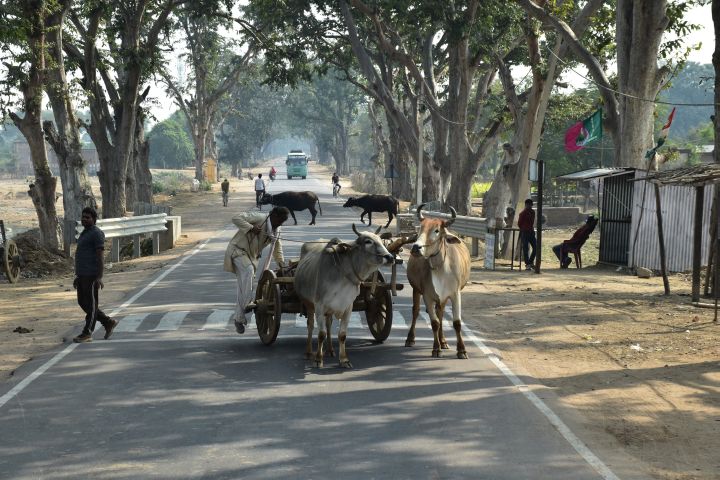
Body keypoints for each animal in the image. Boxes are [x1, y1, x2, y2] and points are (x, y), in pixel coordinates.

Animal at [292, 225, 394, 368]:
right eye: (368, 241)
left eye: (380, 240)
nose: (390, 257)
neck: (343, 273)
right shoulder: (319, 306)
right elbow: (321, 334)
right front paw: (318, 359)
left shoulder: (347, 306)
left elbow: (342, 335)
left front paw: (344, 360)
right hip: (309, 305)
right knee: (310, 326)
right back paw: (308, 352)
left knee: (329, 325)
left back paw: (330, 350)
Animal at [404, 204, 472, 358]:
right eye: (421, 229)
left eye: (436, 230)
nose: (416, 247)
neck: (440, 268)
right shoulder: (427, 296)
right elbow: (434, 322)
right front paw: (436, 348)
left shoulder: (455, 294)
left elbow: (456, 322)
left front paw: (462, 350)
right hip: (416, 290)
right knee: (416, 311)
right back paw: (410, 339)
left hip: (443, 298)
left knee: (440, 313)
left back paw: (444, 341)